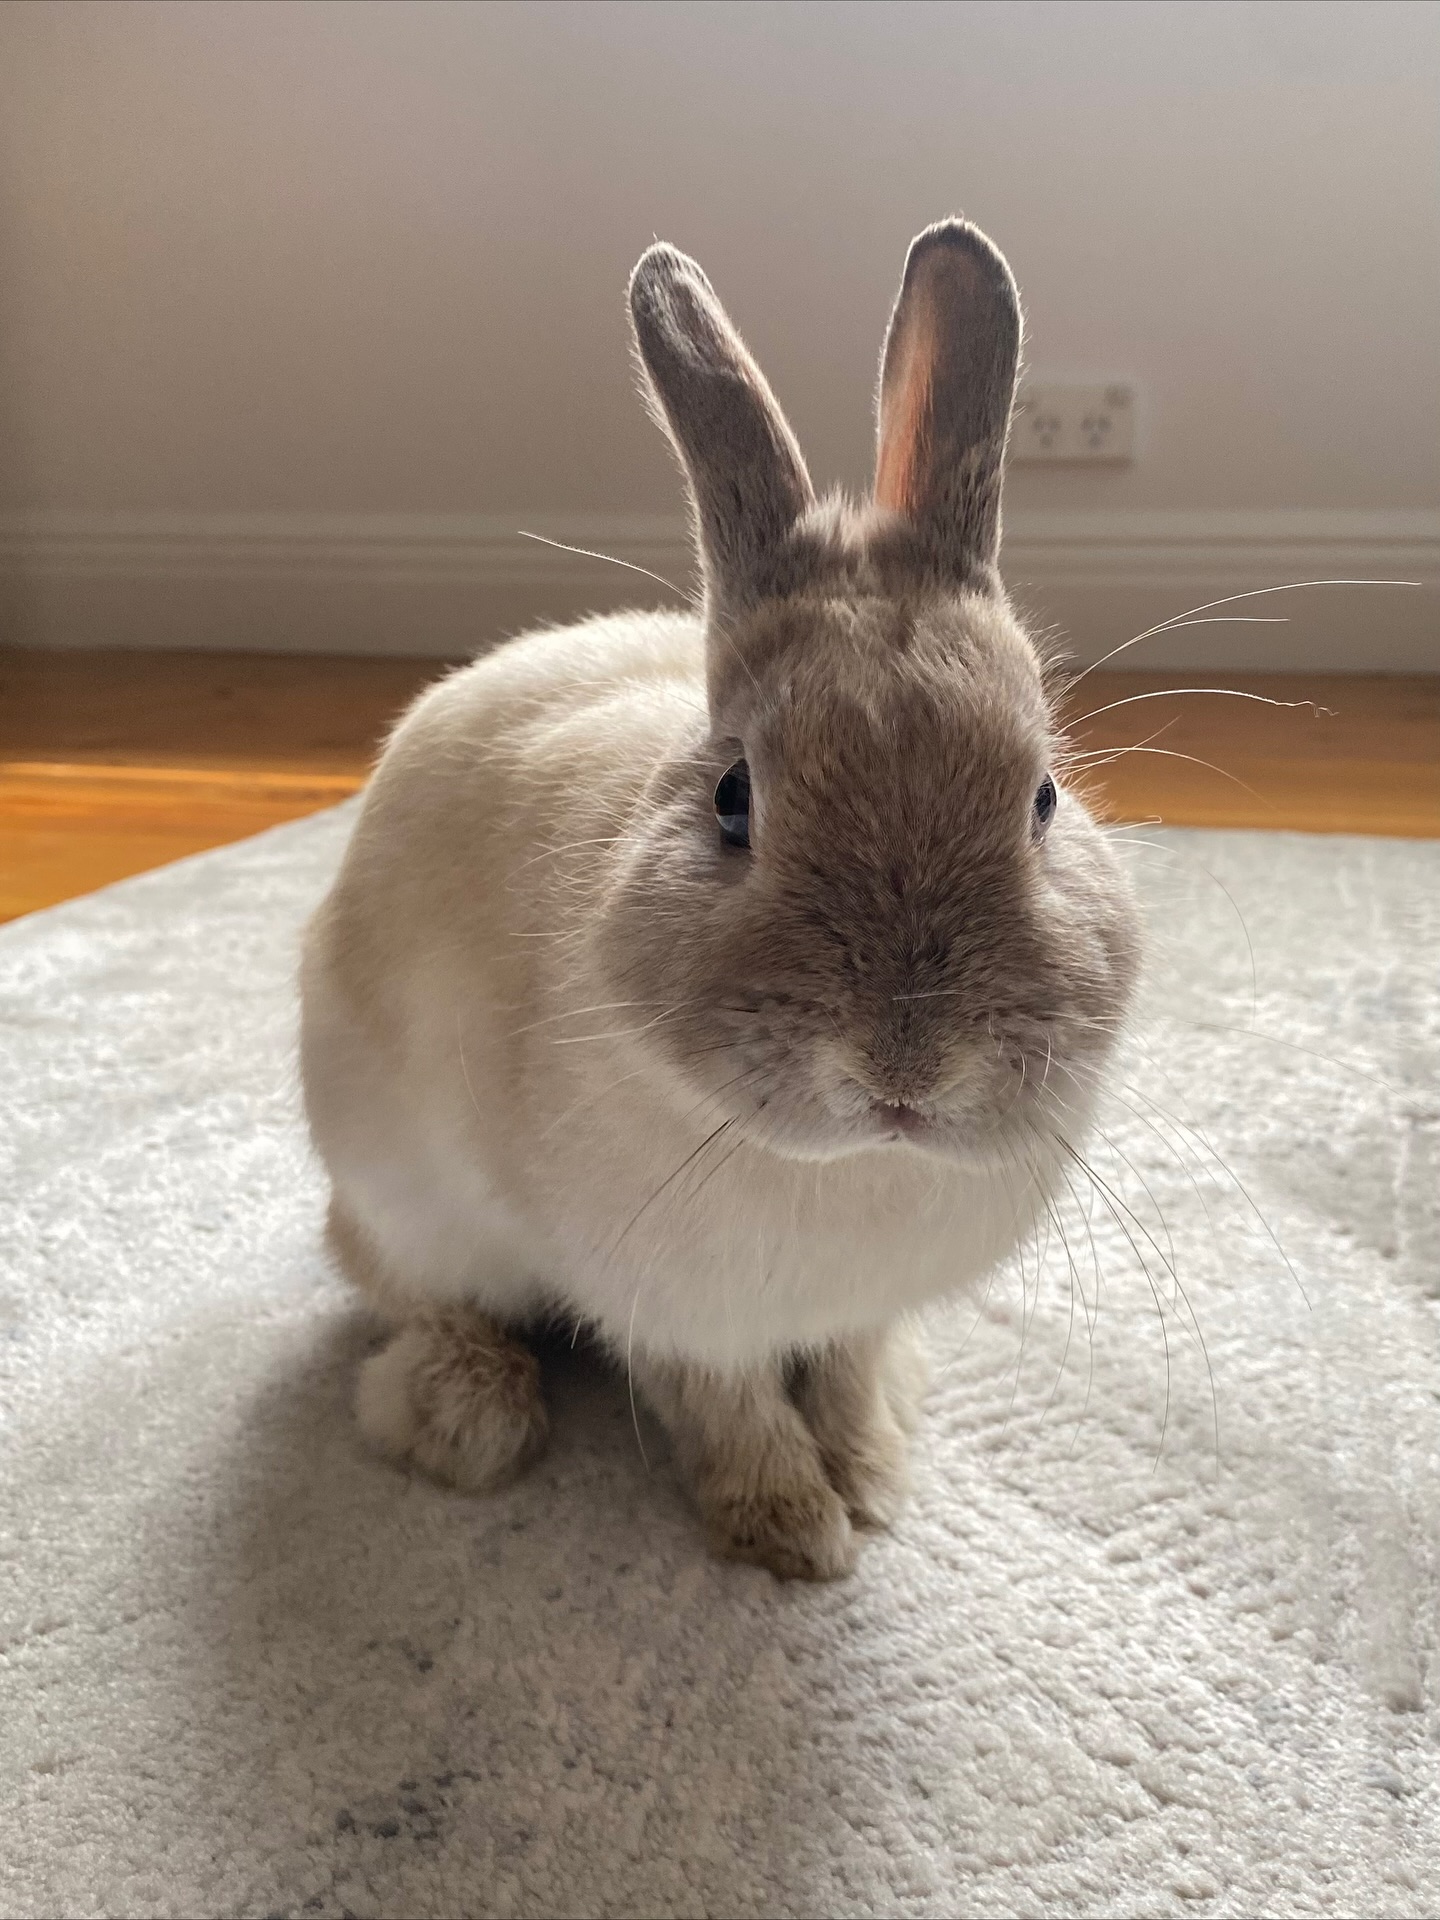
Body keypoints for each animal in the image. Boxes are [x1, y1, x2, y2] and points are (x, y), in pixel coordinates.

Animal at [300, 217, 1142, 1581]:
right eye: (732, 799)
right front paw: (794, 1532)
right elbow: (725, 1406)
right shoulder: (663, 1311)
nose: (906, 1067)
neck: (853, 1165)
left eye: (1045, 799)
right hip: (399, 1186)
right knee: (399, 1286)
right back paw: (465, 1413)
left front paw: (872, 1474)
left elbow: (846, 1372)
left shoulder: (853, 1310)